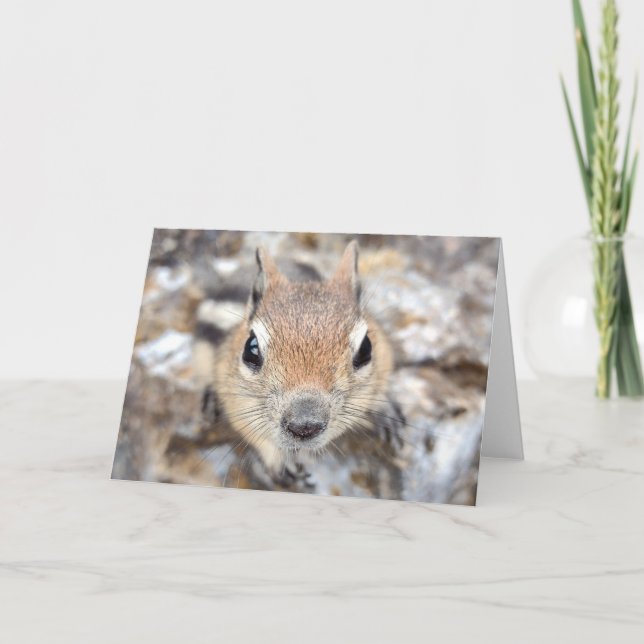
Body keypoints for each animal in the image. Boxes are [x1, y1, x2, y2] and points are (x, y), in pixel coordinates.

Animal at [192, 241, 404, 488]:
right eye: (250, 349)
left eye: (366, 349)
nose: (304, 426)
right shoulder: (235, 399)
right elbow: (254, 433)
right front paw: (279, 462)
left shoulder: (384, 354)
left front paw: (385, 408)